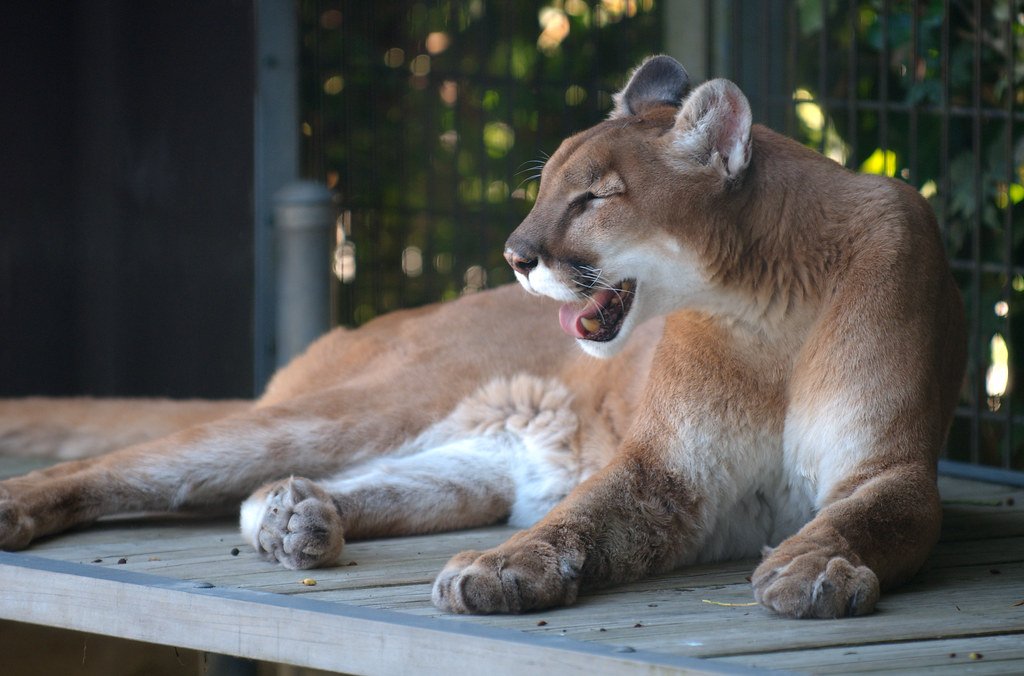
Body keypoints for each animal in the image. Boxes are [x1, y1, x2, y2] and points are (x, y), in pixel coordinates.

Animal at [0, 55, 965, 619]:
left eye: (594, 198)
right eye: (546, 186)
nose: (514, 254)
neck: (761, 312)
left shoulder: (890, 465)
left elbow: (870, 515)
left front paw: (816, 567)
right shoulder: (669, 468)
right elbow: (583, 519)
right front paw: (504, 570)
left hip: (473, 464)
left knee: (297, 490)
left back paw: (298, 520)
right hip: (362, 407)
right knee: (137, 466)